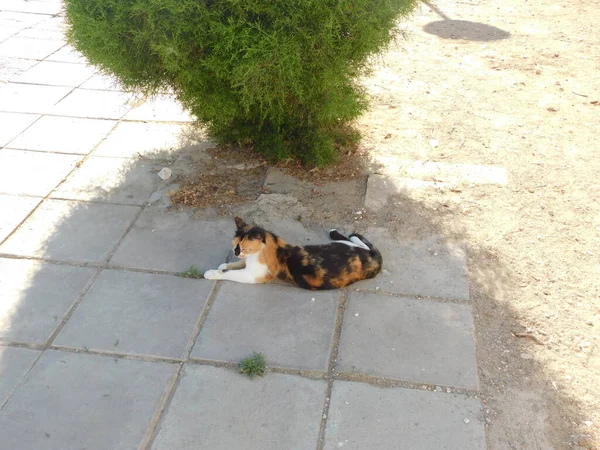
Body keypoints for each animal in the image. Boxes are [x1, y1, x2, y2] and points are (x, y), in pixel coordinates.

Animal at [204, 216, 382, 290]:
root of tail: (373, 261)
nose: (235, 252)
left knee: (364, 244)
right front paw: (226, 264)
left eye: (244, 248)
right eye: (234, 245)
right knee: (358, 242)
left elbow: (230, 274)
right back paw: (336, 233)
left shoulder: (253, 275)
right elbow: (238, 263)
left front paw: (214, 273)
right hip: (340, 245)